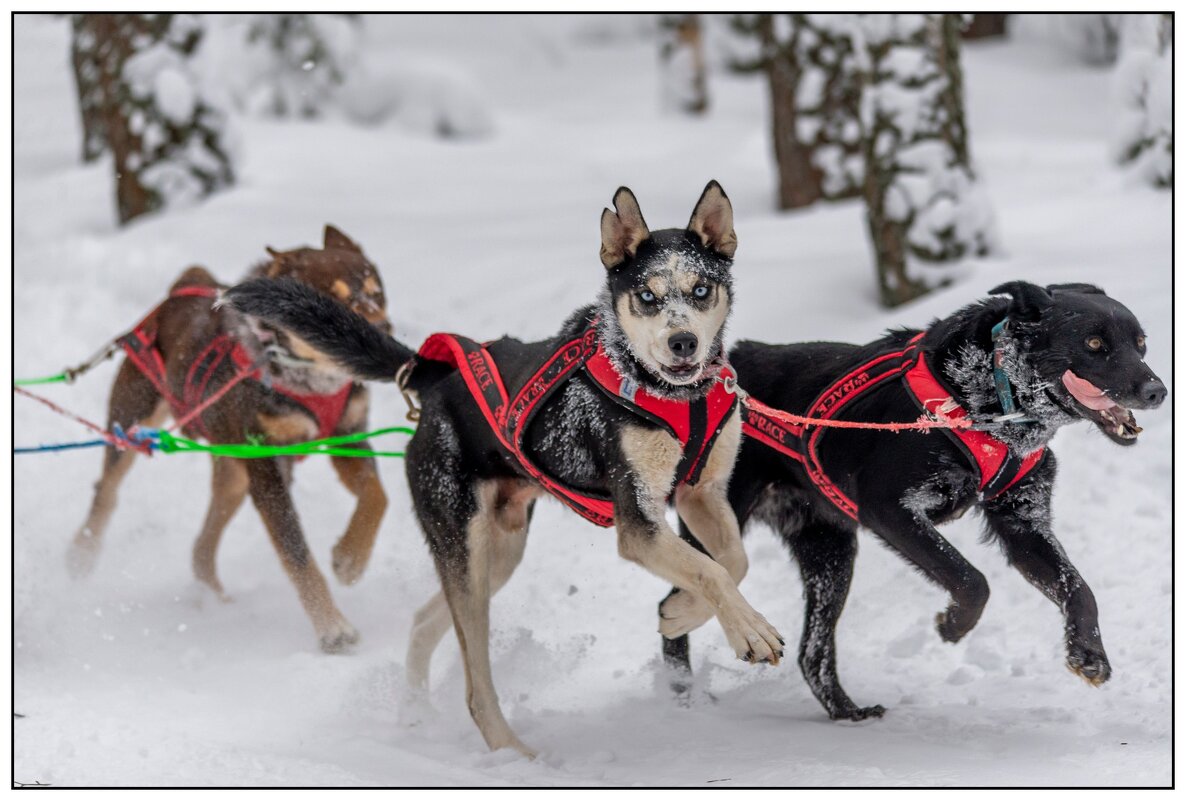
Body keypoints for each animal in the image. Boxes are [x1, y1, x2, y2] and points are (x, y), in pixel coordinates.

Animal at [67, 224, 391, 650]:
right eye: (329, 303)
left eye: (376, 290)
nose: (383, 334)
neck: (310, 383)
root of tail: (182, 289)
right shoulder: (267, 467)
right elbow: (296, 553)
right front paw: (332, 627)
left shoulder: (348, 438)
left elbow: (377, 496)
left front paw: (351, 558)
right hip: (135, 425)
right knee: (106, 491)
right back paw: (82, 554)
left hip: (234, 475)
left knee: (201, 548)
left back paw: (215, 601)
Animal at [668, 280, 1167, 721]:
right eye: (1095, 343)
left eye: (1140, 343)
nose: (1157, 390)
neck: (984, 394)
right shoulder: (890, 509)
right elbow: (971, 579)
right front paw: (954, 624)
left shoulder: (1022, 523)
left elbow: (1079, 590)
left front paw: (1089, 654)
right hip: (717, 534)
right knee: (676, 611)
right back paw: (681, 698)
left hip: (831, 556)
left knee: (812, 652)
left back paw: (846, 711)